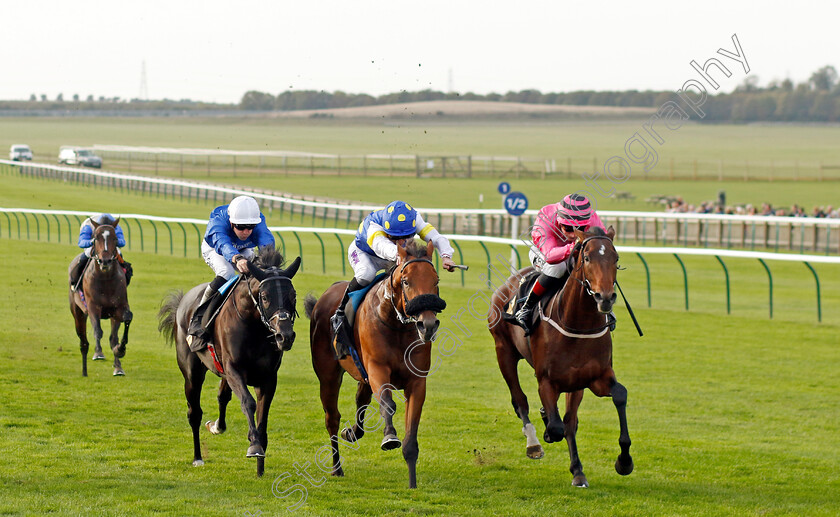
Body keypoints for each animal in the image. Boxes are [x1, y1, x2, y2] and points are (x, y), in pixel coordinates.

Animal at [69, 217, 131, 374]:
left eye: (115, 238)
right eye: (96, 237)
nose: (105, 261)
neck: (105, 279)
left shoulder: (118, 308)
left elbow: (124, 324)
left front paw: (120, 352)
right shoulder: (92, 306)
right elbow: (98, 331)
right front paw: (98, 353)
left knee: (112, 337)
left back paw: (117, 365)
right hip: (77, 311)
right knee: (82, 335)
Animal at [158, 250, 302, 476]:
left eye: (293, 296)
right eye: (264, 297)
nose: (284, 336)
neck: (253, 325)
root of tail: (183, 302)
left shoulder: (267, 378)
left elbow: (262, 416)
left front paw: (260, 465)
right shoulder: (235, 370)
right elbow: (248, 402)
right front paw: (254, 446)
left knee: (222, 396)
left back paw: (217, 426)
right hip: (192, 372)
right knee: (194, 413)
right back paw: (198, 457)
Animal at [304, 240, 446, 490]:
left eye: (435, 280)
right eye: (406, 281)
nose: (427, 324)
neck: (396, 324)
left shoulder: (417, 381)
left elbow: (411, 433)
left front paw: (412, 482)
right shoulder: (378, 370)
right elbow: (388, 404)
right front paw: (389, 437)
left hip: (362, 374)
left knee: (361, 399)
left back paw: (352, 433)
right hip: (328, 375)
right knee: (332, 418)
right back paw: (336, 468)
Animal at [488, 224, 632, 486]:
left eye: (616, 258)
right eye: (587, 257)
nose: (605, 298)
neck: (578, 323)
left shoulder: (594, 378)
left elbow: (618, 396)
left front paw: (623, 462)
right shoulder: (546, 380)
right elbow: (556, 427)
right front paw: (546, 429)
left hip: (574, 384)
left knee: (569, 420)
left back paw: (577, 470)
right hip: (503, 351)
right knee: (520, 400)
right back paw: (534, 443)